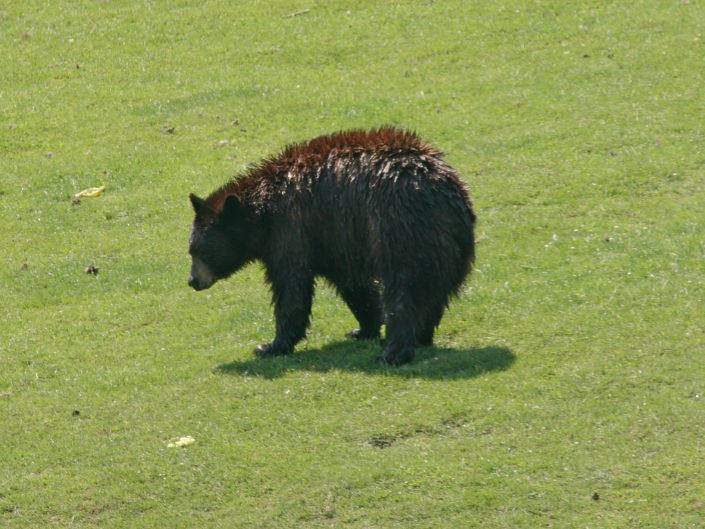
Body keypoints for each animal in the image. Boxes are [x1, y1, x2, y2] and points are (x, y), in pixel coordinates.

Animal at [188, 127, 476, 365]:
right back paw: (420, 336)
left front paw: (271, 345)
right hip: (450, 248)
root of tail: (443, 192)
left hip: (399, 229)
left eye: (201, 251)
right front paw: (363, 328)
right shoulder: (334, 237)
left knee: (404, 290)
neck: (263, 213)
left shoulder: (292, 229)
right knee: (433, 292)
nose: (192, 281)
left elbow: (291, 287)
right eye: (190, 250)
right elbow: (354, 285)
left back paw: (392, 353)